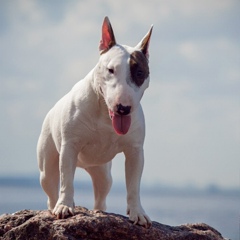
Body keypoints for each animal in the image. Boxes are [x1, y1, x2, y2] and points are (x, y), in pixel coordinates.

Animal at [37, 16, 154, 227]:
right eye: (110, 70)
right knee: (52, 190)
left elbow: (134, 186)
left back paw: (99, 212)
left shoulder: (135, 152)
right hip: (47, 169)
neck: (105, 115)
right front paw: (65, 206)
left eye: (140, 73)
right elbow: (66, 180)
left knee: (101, 196)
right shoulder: (69, 147)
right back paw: (55, 207)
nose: (123, 108)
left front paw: (138, 213)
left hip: (103, 173)